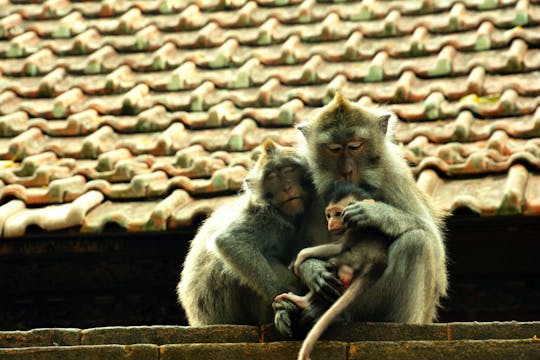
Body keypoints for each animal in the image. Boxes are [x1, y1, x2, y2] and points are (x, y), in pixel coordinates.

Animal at [274, 184, 388, 358]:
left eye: (338, 214)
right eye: (328, 215)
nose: (331, 223)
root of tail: (376, 265)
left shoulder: (355, 226)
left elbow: (339, 246)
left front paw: (300, 257)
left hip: (352, 258)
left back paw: (302, 301)